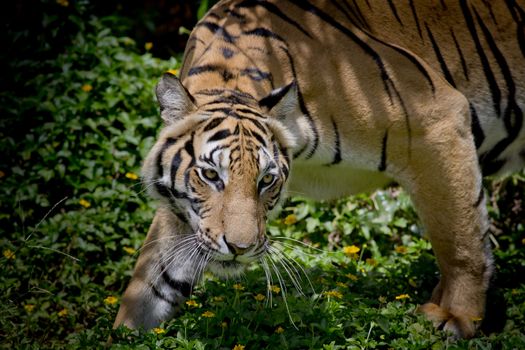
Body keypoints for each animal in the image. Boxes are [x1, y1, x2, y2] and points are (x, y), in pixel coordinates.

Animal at [112, 0, 520, 340]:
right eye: (211, 175)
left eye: (266, 180)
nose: (240, 249)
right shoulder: (184, 212)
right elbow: (150, 277)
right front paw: (122, 333)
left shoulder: (439, 119)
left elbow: (460, 238)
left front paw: (458, 318)